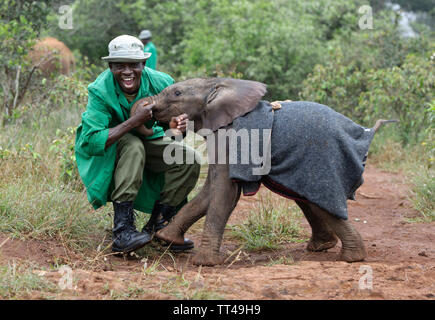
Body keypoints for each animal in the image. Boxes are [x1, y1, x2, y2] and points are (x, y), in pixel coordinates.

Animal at [131, 79, 396, 266]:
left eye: (176, 93)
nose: (148, 109)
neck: (218, 84)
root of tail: (363, 133)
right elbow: (210, 192)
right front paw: (165, 238)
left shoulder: (230, 138)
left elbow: (224, 191)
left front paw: (204, 263)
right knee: (306, 198)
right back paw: (323, 247)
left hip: (322, 159)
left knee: (320, 198)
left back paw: (352, 258)